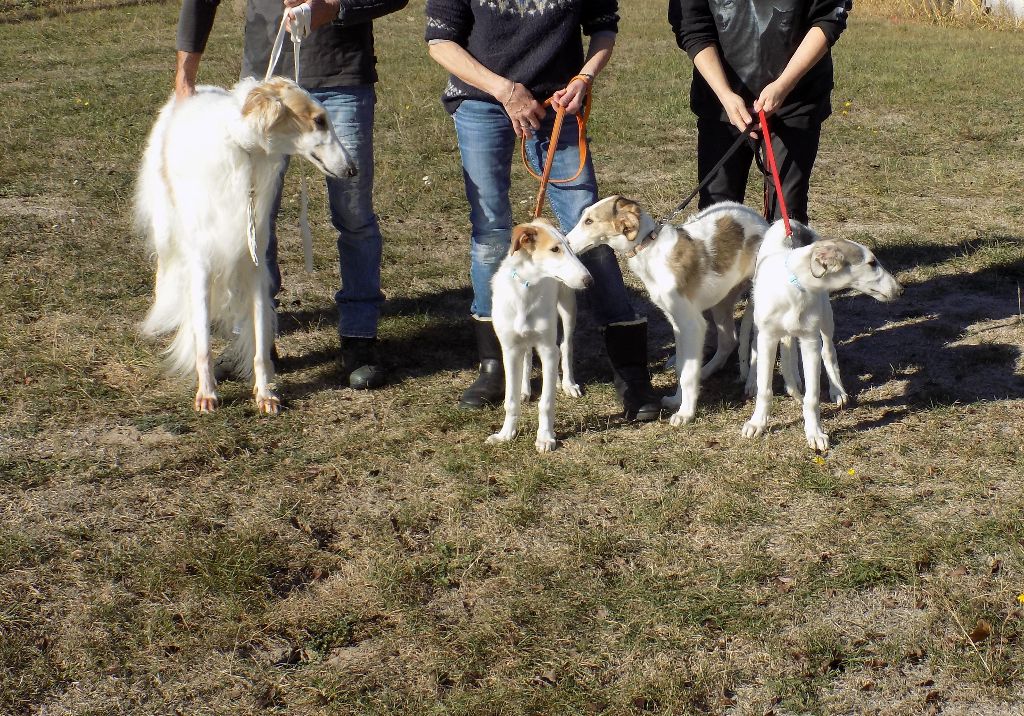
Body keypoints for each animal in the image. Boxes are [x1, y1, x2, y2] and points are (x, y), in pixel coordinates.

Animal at [135, 76, 356, 413]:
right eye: (319, 120)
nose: (352, 169)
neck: (241, 149)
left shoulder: (254, 260)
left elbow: (260, 343)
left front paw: (265, 394)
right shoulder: (201, 261)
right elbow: (202, 341)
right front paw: (207, 392)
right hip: (168, 229)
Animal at [485, 218, 593, 452]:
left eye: (568, 245)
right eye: (554, 249)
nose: (589, 281)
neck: (526, 290)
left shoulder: (548, 350)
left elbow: (546, 402)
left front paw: (545, 438)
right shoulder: (509, 349)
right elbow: (510, 401)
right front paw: (505, 434)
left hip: (567, 306)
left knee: (565, 346)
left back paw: (568, 384)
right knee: (527, 355)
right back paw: (525, 389)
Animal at [569, 197, 770, 426]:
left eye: (589, 221)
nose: (564, 242)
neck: (649, 247)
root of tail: (761, 219)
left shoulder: (692, 325)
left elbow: (687, 373)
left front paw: (685, 413)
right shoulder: (677, 323)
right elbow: (683, 366)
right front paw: (677, 400)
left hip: (757, 301)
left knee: (754, 345)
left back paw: (753, 384)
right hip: (723, 300)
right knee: (729, 340)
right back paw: (706, 371)